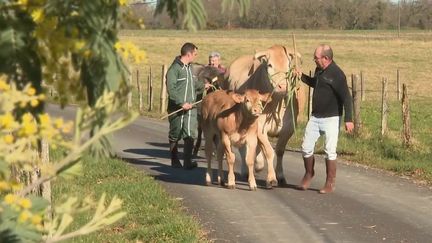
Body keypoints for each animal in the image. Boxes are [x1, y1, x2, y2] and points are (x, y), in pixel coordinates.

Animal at [223, 44, 308, 187]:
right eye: (269, 65)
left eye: (288, 64)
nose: (282, 86)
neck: (277, 103)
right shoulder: (259, 127)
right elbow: (268, 151)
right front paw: (271, 177)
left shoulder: (289, 128)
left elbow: (279, 150)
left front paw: (280, 175)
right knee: (243, 148)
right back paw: (247, 170)